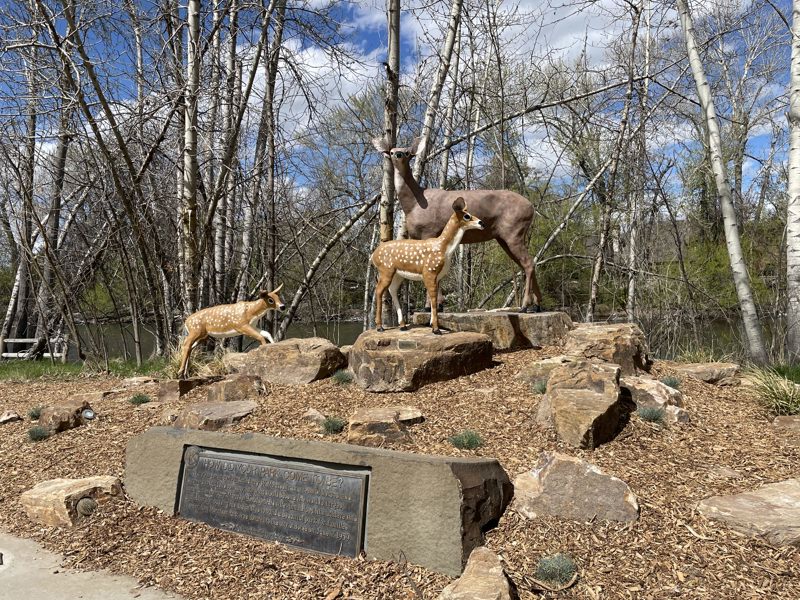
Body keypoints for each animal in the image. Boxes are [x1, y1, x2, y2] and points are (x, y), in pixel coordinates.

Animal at [372, 197, 484, 335]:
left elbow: (434, 298)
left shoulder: (438, 276)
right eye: (467, 216)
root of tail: (373, 256)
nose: (482, 223)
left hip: (397, 274)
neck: (444, 248)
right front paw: (436, 329)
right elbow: (434, 298)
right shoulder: (429, 271)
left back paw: (403, 325)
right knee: (378, 290)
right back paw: (379, 327)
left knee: (392, 290)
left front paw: (432, 325)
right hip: (385, 269)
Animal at [373, 135, 543, 312]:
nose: (398, 154)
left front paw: (430, 306)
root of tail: (531, 208)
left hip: (513, 230)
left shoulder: (429, 230)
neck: (413, 204)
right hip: (504, 236)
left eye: (407, 152)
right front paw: (439, 305)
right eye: (391, 151)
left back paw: (525, 306)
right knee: (528, 263)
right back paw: (537, 305)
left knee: (528, 263)